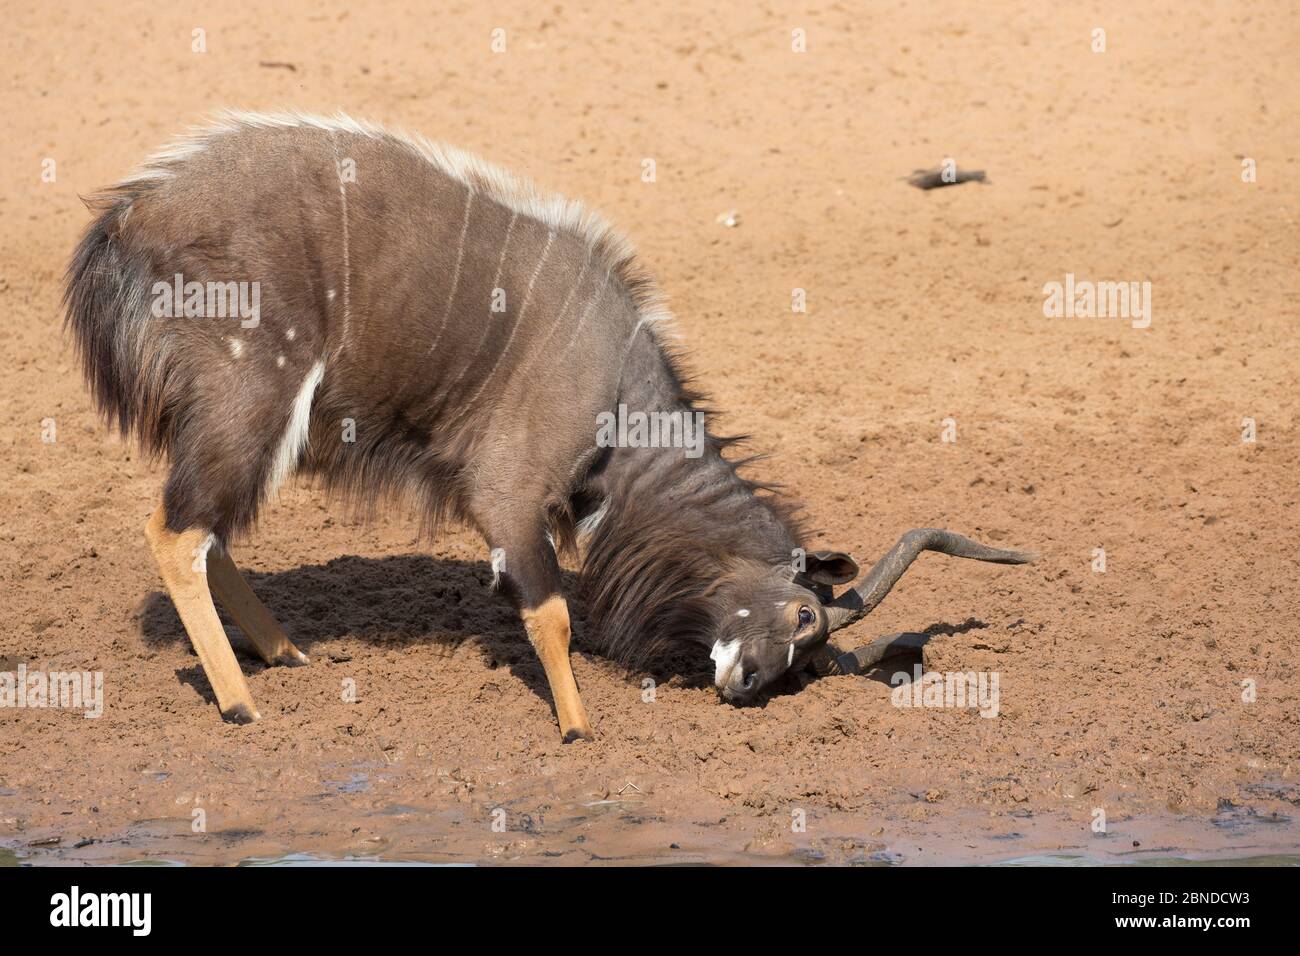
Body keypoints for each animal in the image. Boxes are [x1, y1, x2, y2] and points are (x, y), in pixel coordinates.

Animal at [63, 110, 1034, 738]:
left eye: (807, 659)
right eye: (801, 619)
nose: (746, 682)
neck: (617, 387)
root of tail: (132, 215)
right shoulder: (508, 498)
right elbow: (553, 613)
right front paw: (578, 729)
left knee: (208, 528)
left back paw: (285, 653)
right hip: (254, 397)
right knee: (175, 529)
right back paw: (241, 702)